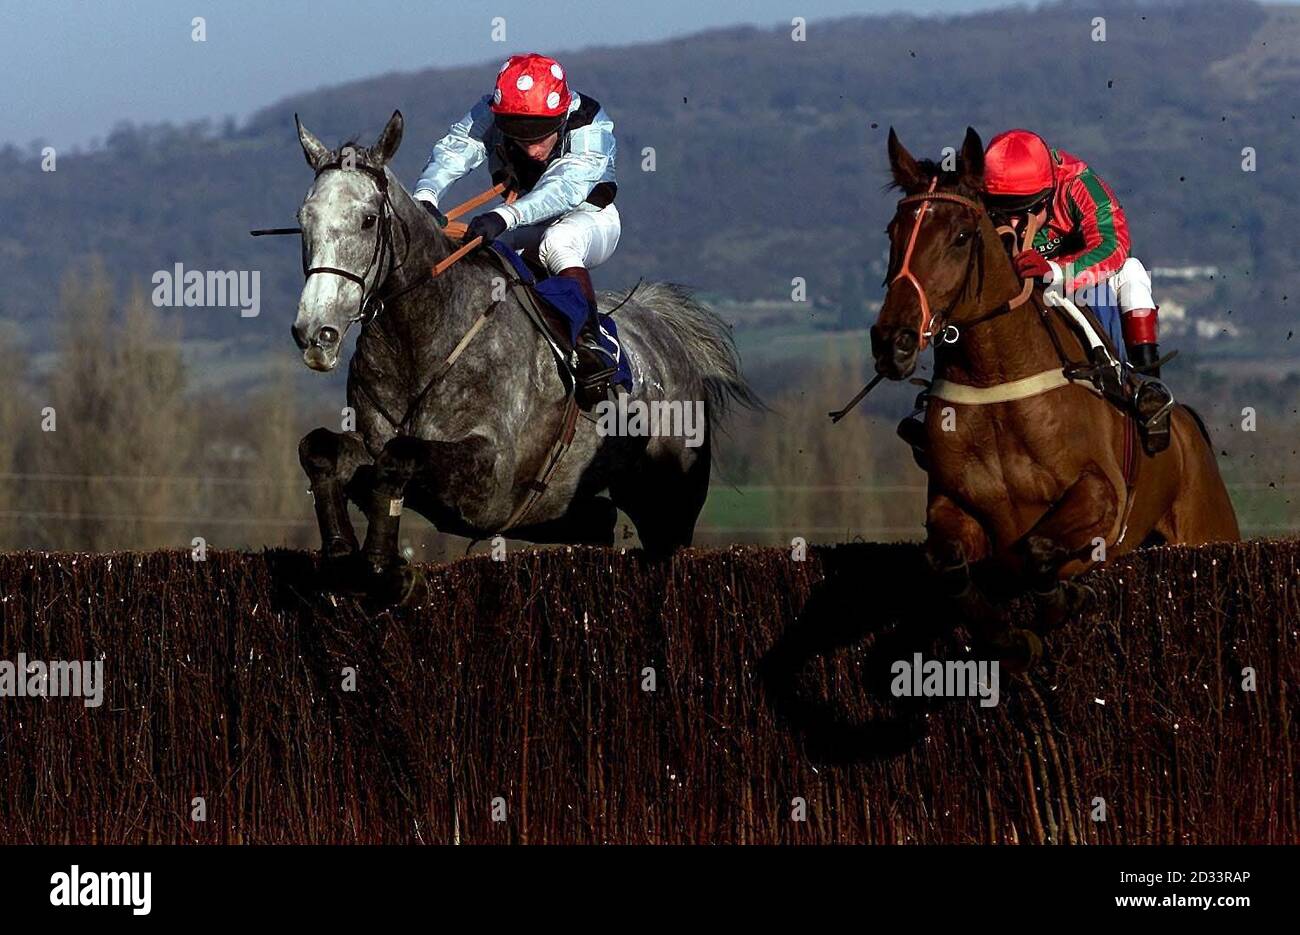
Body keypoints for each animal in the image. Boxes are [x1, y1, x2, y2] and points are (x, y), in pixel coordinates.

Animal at [289, 113, 759, 603]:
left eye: (366, 220)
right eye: (303, 219)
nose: (315, 333)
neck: (421, 339)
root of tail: (666, 328)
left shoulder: (490, 480)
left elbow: (399, 457)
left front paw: (384, 568)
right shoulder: (376, 446)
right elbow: (321, 448)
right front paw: (342, 554)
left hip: (670, 502)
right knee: (598, 519)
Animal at [868, 126, 1232, 665]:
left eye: (960, 237)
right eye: (893, 233)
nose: (893, 341)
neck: (997, 381)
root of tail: (1187, 422)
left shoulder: (1103, 496)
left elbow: (1039, 550)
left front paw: (1068, 598)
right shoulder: (953, 506)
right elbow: (945, 564)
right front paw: (1010, 637)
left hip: (1208, 526)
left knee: (1128, 266)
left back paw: (1150, 393)